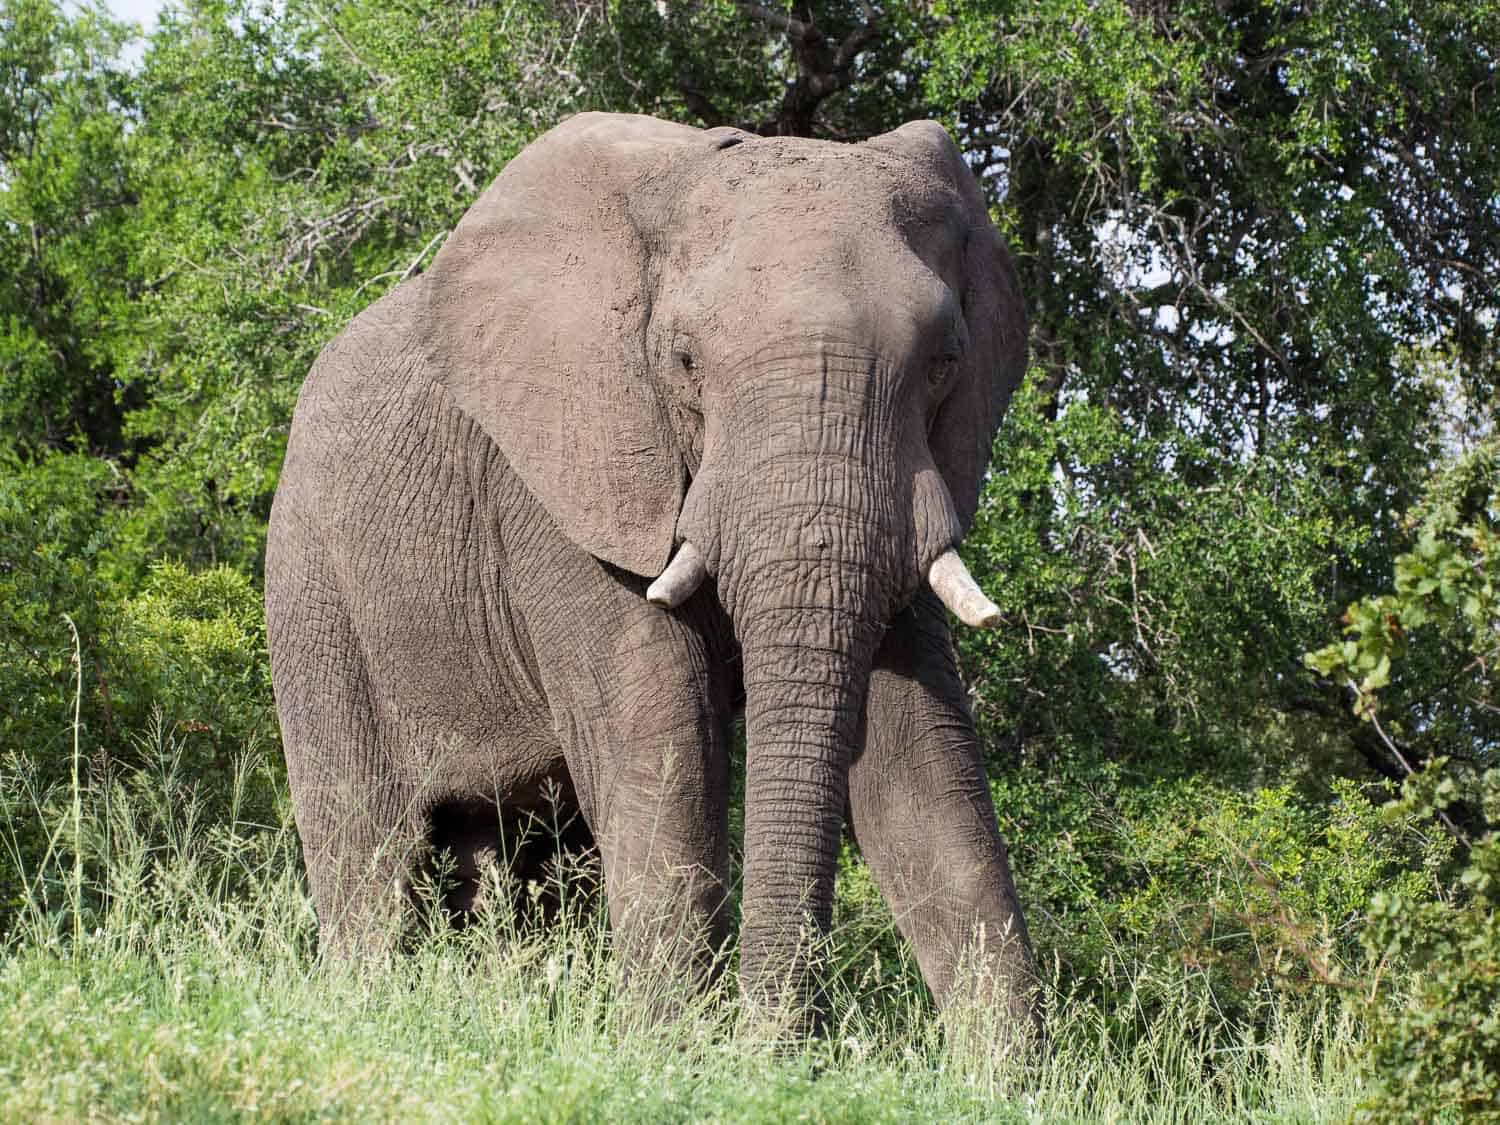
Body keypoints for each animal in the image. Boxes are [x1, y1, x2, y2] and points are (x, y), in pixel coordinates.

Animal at [267, 110, 1044, 1038]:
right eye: (683, 360)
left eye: (944, 362)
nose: (779, 1046)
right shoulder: (564, 481)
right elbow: (663, 739)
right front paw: (678, 1049)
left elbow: (923, 762)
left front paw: (1014, 1068)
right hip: (313, 585)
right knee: (368, 854)